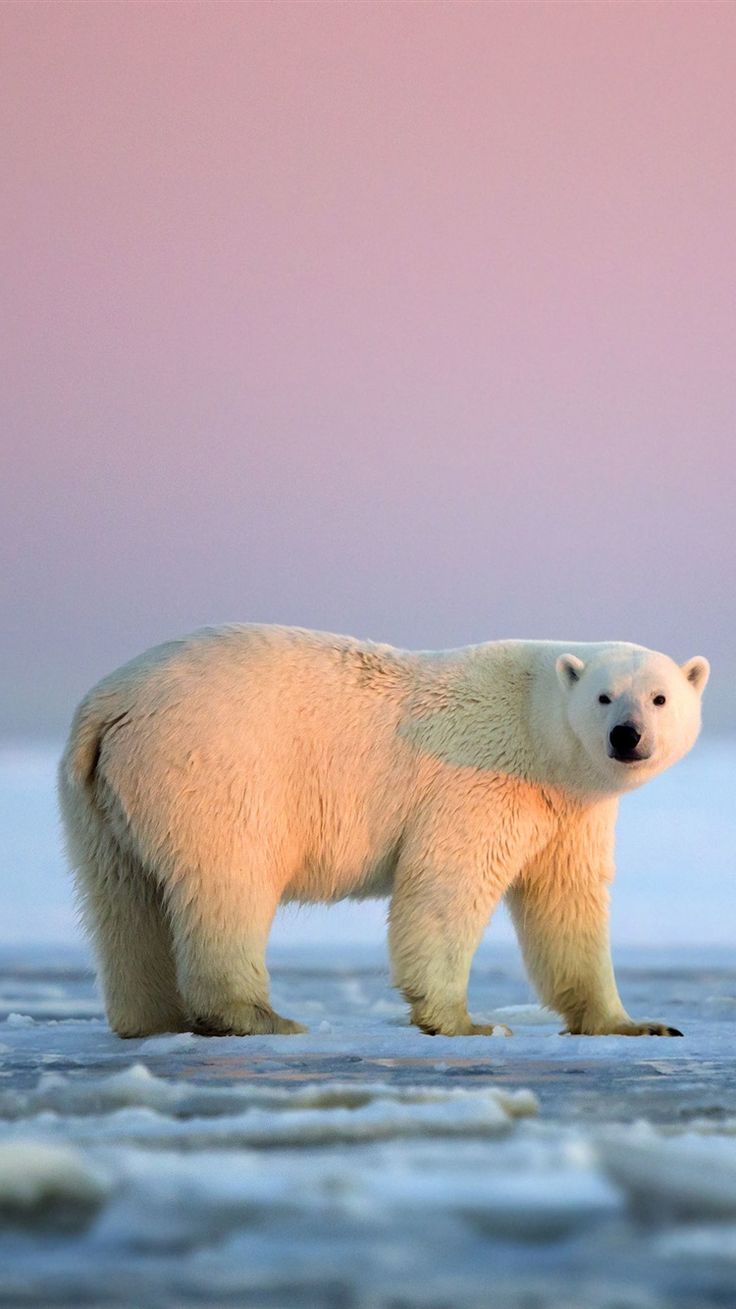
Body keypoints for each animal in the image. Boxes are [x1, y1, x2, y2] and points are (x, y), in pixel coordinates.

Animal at [58, 625, 709, 1039]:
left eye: (660, 697)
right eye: (603, 696)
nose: (627, 735)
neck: (535, 726)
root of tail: (107, 704)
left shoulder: (568, 812)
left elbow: (567, 904)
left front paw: (638, 1023)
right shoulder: (481, 780)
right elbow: (446, 886)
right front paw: (467, 1022)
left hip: (99, 800)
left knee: (122, 901)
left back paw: (151, 1019)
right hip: (211, 767)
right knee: (228, 882)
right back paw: (258, 1016)